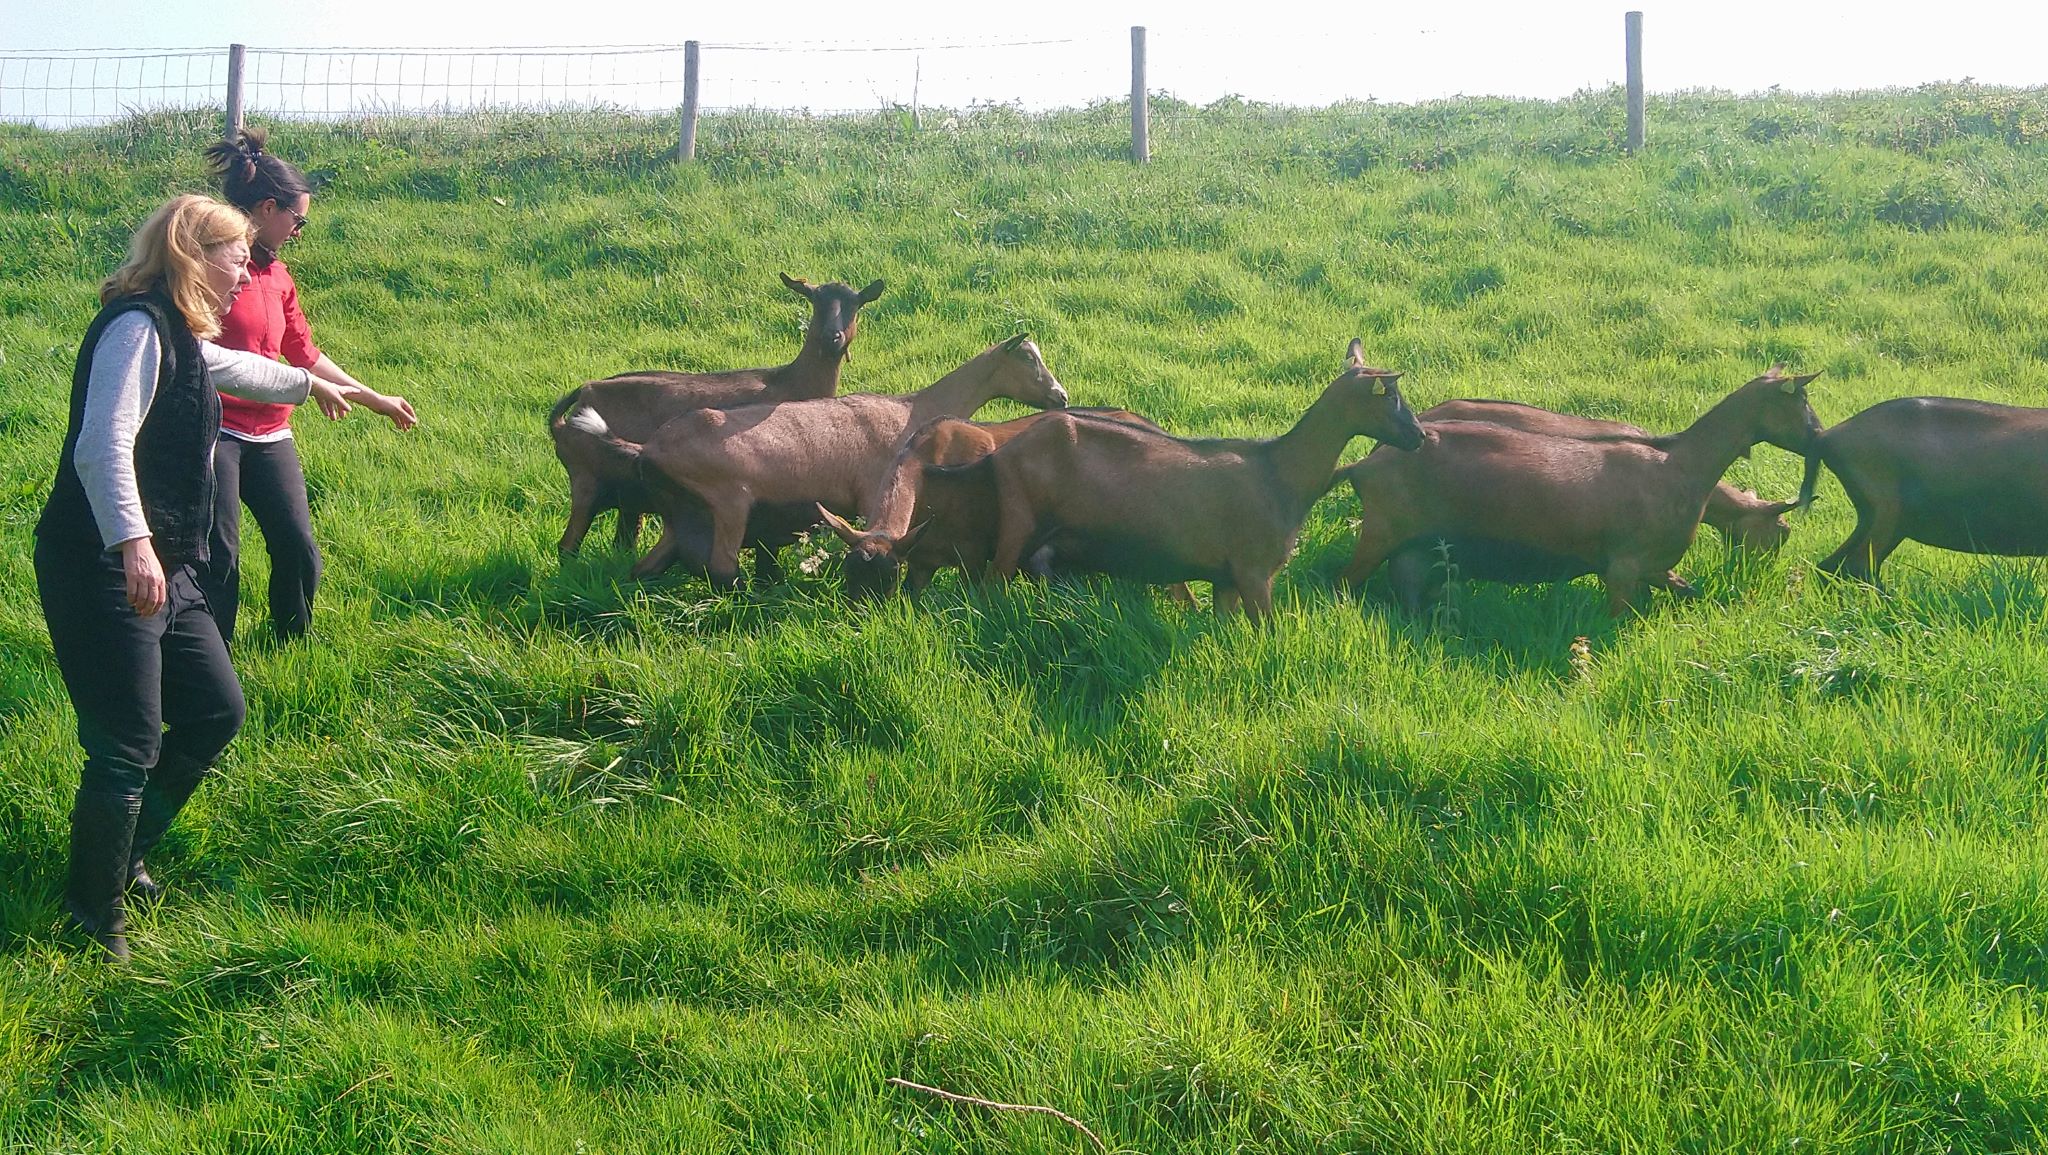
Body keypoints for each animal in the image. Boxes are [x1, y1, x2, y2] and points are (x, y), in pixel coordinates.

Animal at [548, 272, 884, 557]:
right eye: (816, 301)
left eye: (855, 304)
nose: (832, 336)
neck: (789, 381)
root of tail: (581, 396)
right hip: (586, 483)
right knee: (567, 546)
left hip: (626, 496)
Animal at [569, 331, 1064, 585]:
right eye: (1028, 359)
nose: (1060, 396)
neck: (913, 409)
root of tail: (649, 448)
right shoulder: (871, 497)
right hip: (728, 504)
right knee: (722, 567)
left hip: (681, 515)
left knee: (647, 567)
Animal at [946, 337, 1417, 622]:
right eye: (1391, 396)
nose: (1418, 436)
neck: (1282, 475)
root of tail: (1001, 454)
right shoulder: (1254, 572)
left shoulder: (1226, 580)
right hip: (1017, 530)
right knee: (988, 588)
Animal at [1343, 364, 1826, 618]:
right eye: (1801, 401)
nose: (1819, 436)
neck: (1681, 465)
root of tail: (1366, 463)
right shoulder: (1624, 567)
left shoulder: (1647, 568)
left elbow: (1677, 588)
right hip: (1381, 533)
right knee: (1345, 582)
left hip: (1415, 549)